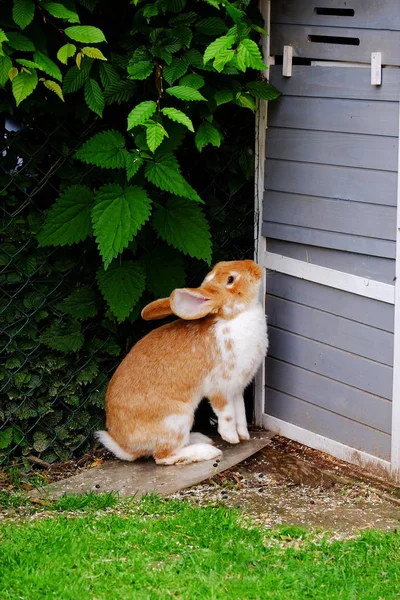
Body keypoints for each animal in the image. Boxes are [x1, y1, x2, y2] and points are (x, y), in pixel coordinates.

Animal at [95, 258, 268, 464]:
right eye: (230, 279)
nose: (254, 267)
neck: (232, 317)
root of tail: (125, 448)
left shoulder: (237, 389)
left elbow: (240, 411)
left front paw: (244, 435)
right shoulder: (219, 389)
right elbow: (226, 414)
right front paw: (231, 438)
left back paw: (200, 439)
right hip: (177, 418)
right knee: (163, 456)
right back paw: (206, 451)